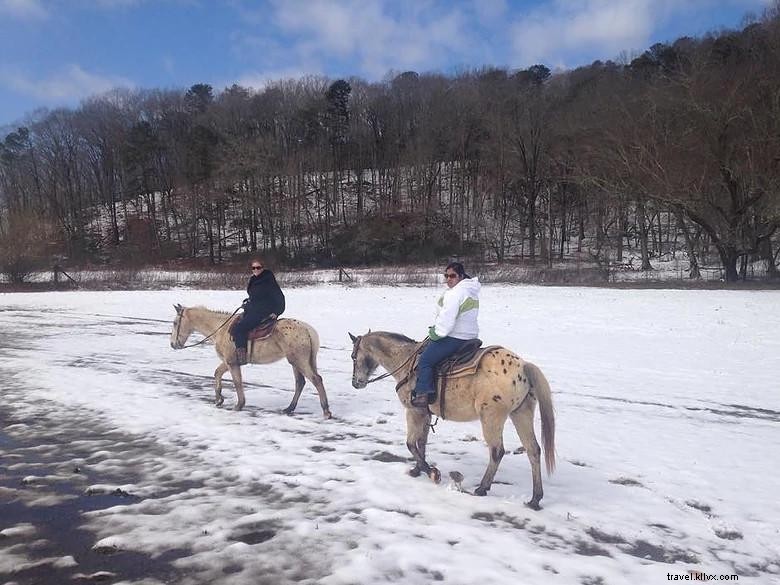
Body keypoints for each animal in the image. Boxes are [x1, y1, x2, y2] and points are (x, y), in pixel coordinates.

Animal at [170, 304, 332, 418]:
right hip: (297, 362)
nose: (173, 344)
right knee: (300, 383)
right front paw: (219, 399)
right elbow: (217, 373)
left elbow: (237, 382)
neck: (221, 329)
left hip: (299, 361)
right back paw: (289, 408)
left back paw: (326, 411)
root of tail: (308, 330)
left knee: (316, 380)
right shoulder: (228, 362)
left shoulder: (232, 363)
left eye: (175, 322)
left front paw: (239, 405)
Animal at [349, 331, 555, 509]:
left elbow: (410, 443)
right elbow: (422, 442)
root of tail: (523, 367)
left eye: (353, 356)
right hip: (521, 413)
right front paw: (417, 470)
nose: (356, 383)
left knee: (497, 451)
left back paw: (482, 488)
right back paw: (535, 499)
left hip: (491, 418)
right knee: (533, 450)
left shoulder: (413, 411)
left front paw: (432, 473)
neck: (406, 361)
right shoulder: (425, 414)